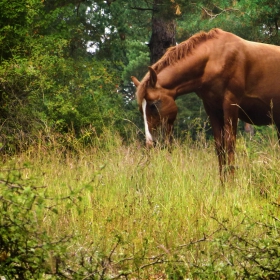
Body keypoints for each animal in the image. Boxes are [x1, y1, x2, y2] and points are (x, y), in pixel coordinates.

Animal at [131, 28, 280, 177]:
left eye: (153, 105)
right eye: (141, 109)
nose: (150, 143)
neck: (214, 59)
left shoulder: (231, 105)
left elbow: (230, 145)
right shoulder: (212, 109)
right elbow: (220, 147)